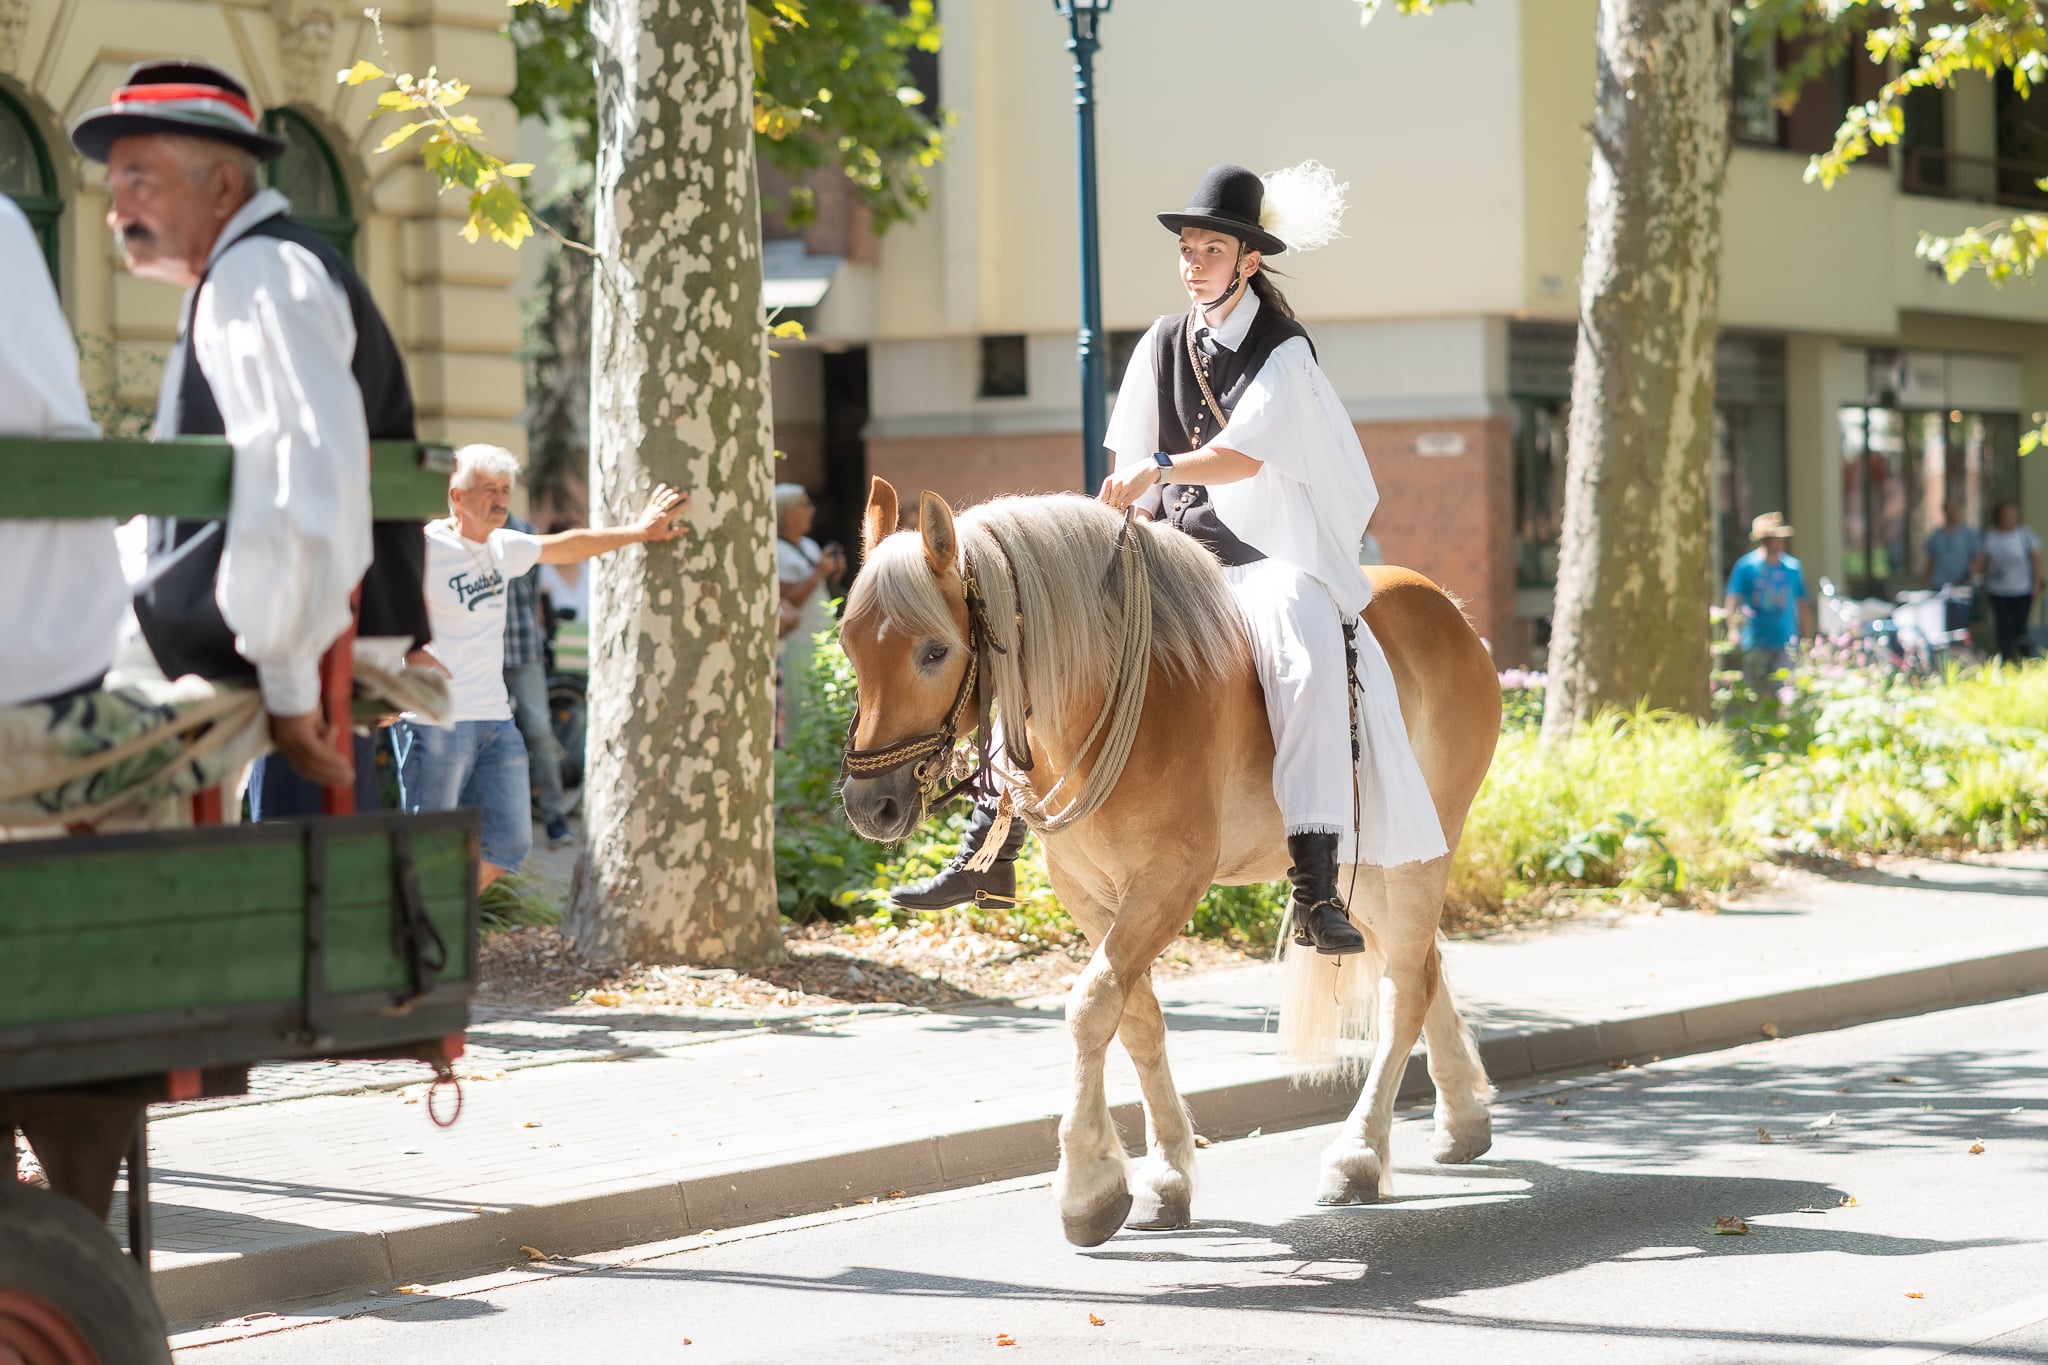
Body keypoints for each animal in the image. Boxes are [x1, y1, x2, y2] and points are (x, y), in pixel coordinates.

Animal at [838, 477, 1501, 1246]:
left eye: (934, 651)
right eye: (850, 643)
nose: (869, 803)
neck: (1106, 691)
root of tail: (1445, 607)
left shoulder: (1168, 881)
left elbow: (1093, 1004)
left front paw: (1087, 1182)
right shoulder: (1090, 893)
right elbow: (1136, 1017)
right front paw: (1165, 1174)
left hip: (1427, 846)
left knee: (1404, 989)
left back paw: (1358, 1153)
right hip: (1368, 868)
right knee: (1420, 963)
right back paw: (1461, 1118)